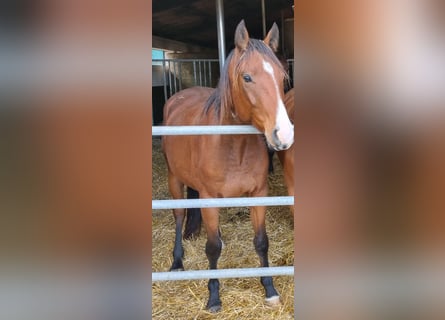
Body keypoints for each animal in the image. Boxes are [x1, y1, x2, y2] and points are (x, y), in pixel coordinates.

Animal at [161, 20, 294, 312]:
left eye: (282, 77)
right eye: (247, 78)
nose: (284, 134)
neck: (233, 145)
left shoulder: (259, 194)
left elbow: (261, 242)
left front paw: (269, 288)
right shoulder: (209, 198)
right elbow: (212, 248)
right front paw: (213, 297)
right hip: (174, 179)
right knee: (179, 216)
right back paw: (177, 263)